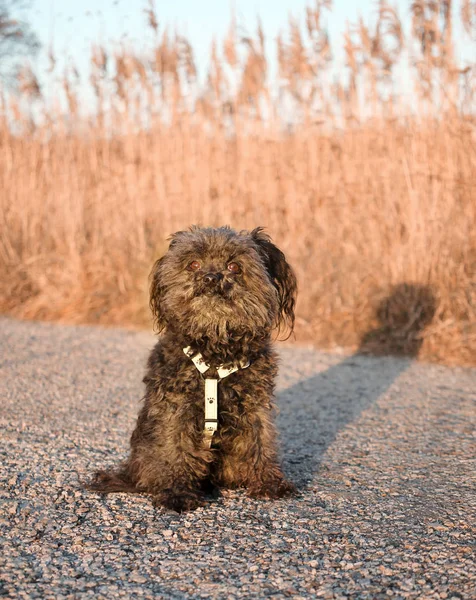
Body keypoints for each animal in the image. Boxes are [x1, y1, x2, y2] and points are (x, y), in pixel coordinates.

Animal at [88, 225, 298, 510]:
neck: (215, 354)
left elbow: (261, 440)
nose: (210, 278)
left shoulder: (254, 406)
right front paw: (177, 493)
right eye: (193, 264)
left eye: (233, 266)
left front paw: (268, 482)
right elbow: (174, 448)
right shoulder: (174, 408)